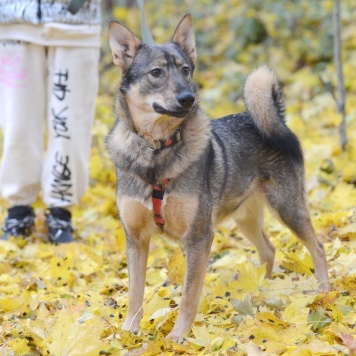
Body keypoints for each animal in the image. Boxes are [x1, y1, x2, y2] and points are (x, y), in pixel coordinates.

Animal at [107, 13, 330, 340]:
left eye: (186, 70)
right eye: (156, 72)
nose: (188, 98)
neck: (158, 152)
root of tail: (274, 119)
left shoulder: (199, 238)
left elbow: (188, 296)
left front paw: (178, 338)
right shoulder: (135, 239)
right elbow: (135, 293)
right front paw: (127, 333)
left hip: (288, 208)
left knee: (318, 246)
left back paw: (324, 292)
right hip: (246, 219)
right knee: (269, 251)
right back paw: (263, 292)